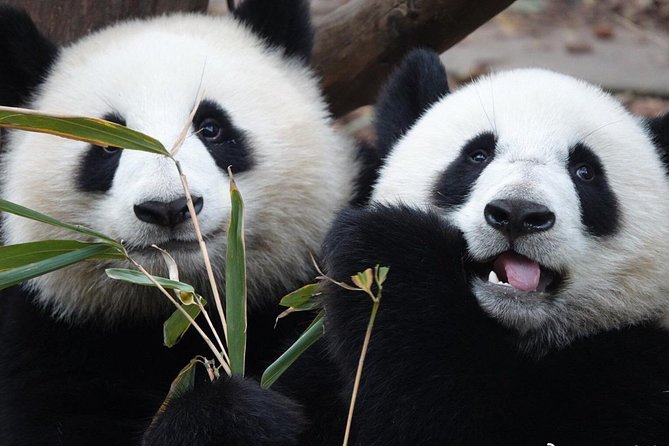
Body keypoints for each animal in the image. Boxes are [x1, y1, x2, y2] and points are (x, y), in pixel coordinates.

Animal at [0, 2, 366, 445]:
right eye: (106, 144)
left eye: (211, 128)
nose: (169, 207)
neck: (185, 303)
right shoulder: (51, 332)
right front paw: (227, 414)